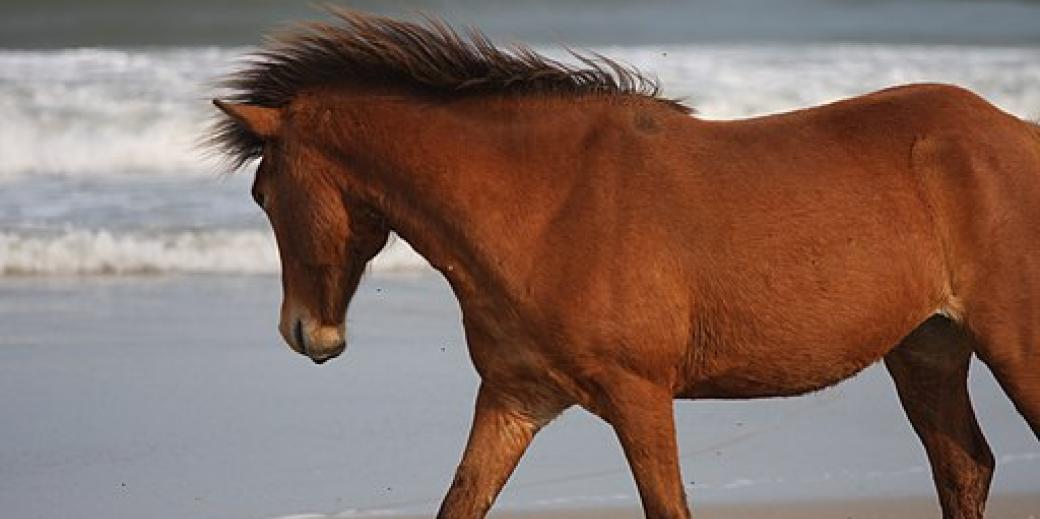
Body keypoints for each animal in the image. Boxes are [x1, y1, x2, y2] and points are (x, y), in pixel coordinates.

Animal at [211, 9, 1040, 519]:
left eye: (261, 192)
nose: (306, 333)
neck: (544, 204)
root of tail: (1015, 131)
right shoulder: (515, 399)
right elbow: (461, 500)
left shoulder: (640, 396)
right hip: (926, 349)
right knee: (964, 467)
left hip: (1014, 346)